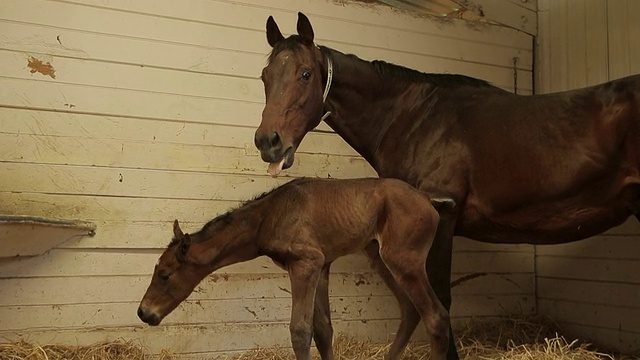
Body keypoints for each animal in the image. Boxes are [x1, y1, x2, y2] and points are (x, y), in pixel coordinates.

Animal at [139, 177, 450, 360]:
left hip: (403, 259)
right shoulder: (321, 266)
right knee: (411, 310)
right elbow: (323, 329)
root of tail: (428, 199)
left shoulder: (306, 262)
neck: (269, 216)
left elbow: (300, 330)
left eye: (165, 274)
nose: (144, 313)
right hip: (381, 258)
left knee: (435, 316)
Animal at [254, 11, 640, 360]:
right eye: (264, 76)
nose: (268, 142)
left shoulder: (443, 214)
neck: (413, 117)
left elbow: (442, 298)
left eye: (305, 74)